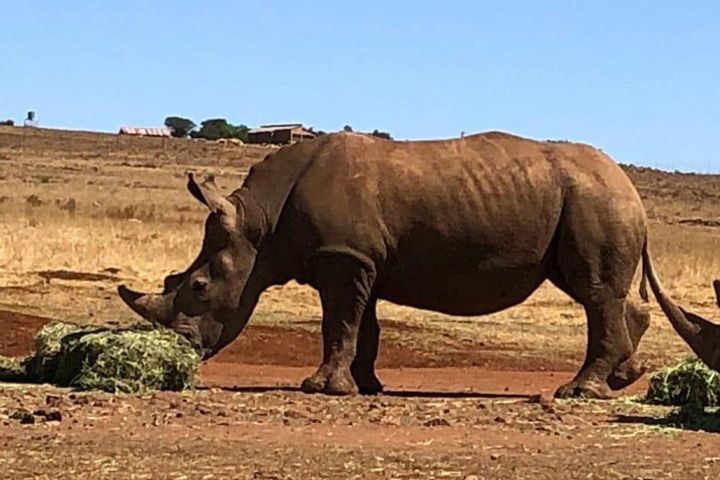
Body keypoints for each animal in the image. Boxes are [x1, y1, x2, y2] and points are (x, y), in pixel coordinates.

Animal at [116, 130, 716, 398]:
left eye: (198, 285)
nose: (185, 349)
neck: (259, 222)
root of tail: (630, 184)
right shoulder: (361, 262)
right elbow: (363, 326)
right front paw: (366, 387)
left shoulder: (344, 259)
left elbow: (339, 323)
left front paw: (320, 388)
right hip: (592, 199)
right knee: (599, 292)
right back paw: (619, 379)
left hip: (595, 199)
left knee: (594, 293)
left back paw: (579, 392)